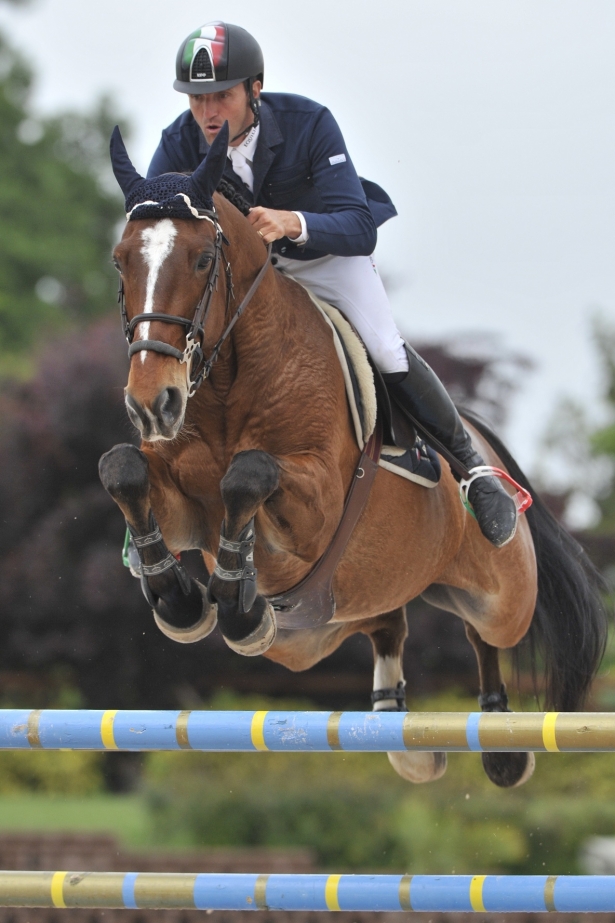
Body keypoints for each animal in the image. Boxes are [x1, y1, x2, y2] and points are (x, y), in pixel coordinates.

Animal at [100, 128, 608, 788]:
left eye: (203, 260)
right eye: (121, 260)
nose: (152, 403)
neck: (227, 382)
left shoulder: (315, 507)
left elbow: (250, 473)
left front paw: (231, 594)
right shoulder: (186, 508)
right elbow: (123, 469)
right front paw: (181, 598)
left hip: (503, 596)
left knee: (485, 634)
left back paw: (500, 739)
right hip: (315, 632)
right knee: (386, 623)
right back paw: (397, 727)